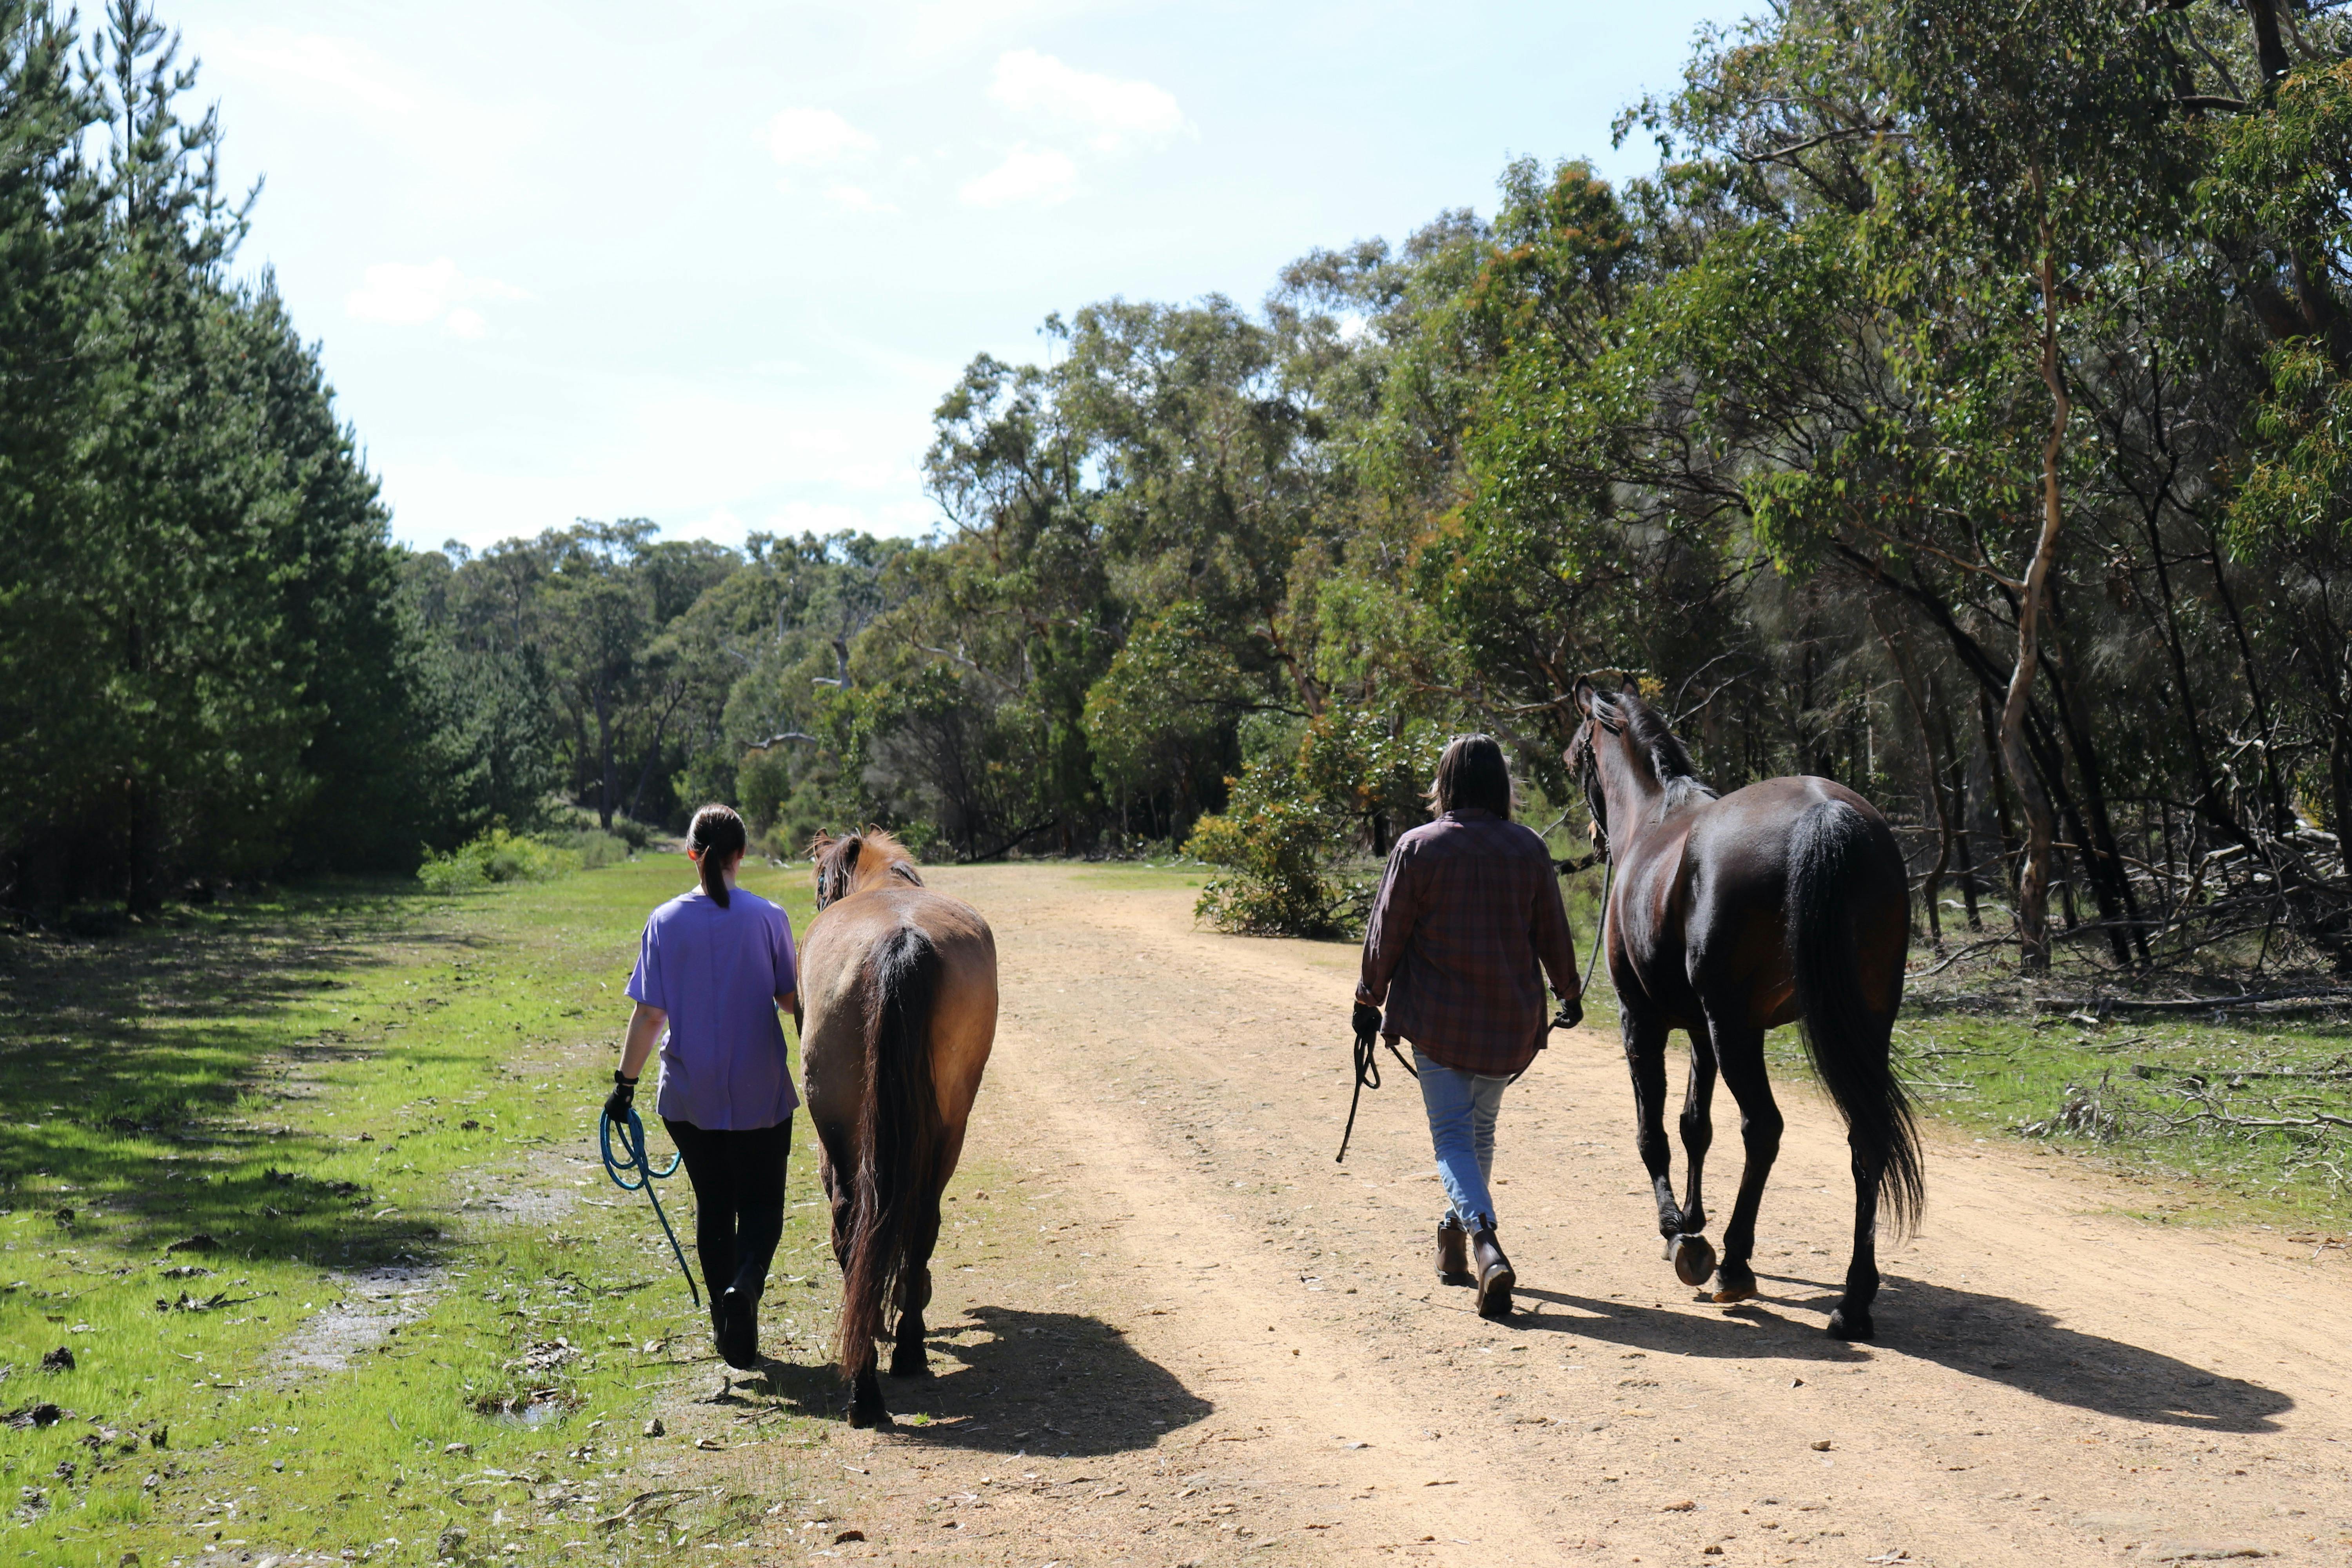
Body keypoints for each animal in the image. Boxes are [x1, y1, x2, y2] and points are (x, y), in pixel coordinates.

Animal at [799, 829, 998, 1426]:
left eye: (820, 885)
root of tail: (901, 938)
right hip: (945, 1126)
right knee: (914, 1219)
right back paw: (892, 1361)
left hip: (845, 1131)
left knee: (857, 1225)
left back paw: (877, 1374)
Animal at [1565, 680, 1922, 1340]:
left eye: (1577, 758)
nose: (1595, 842)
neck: (1655, 822)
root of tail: (1827, 814)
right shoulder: (1703, 1033)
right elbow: (1695, 1127)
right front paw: (1692, 1218)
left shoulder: (1644, 1022)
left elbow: (1655, 1133)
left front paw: (1677, 1232)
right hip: (1861, 1025)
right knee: (1864, 1138)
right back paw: (1853, 1300)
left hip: (1735, 1030)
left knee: (1764, 1129)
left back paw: (1734, 1264)